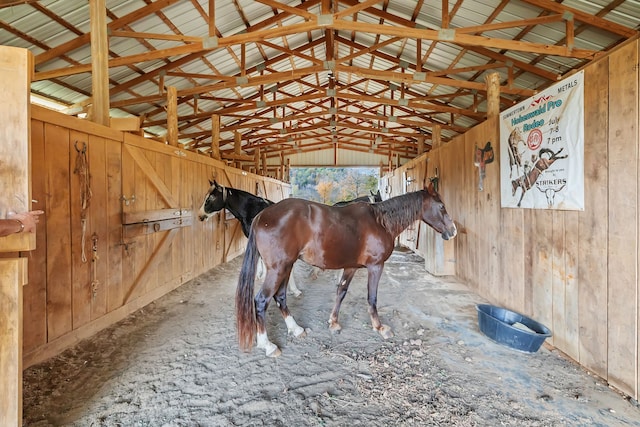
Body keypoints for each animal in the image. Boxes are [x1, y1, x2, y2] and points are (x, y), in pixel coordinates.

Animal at [238, 186, 458, 356]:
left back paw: (296, 329)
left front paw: (333, 323)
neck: (380, 222)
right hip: (278, 269)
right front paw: (380, 327)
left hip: (286, 266)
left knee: (280, 296)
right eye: (441, 206)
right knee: (261, 300)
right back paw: (268, 345)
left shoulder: (351, 267)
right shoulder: (375, 266)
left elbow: (341, 292)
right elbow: (372, 298)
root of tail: (263, 216)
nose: (453, 231)